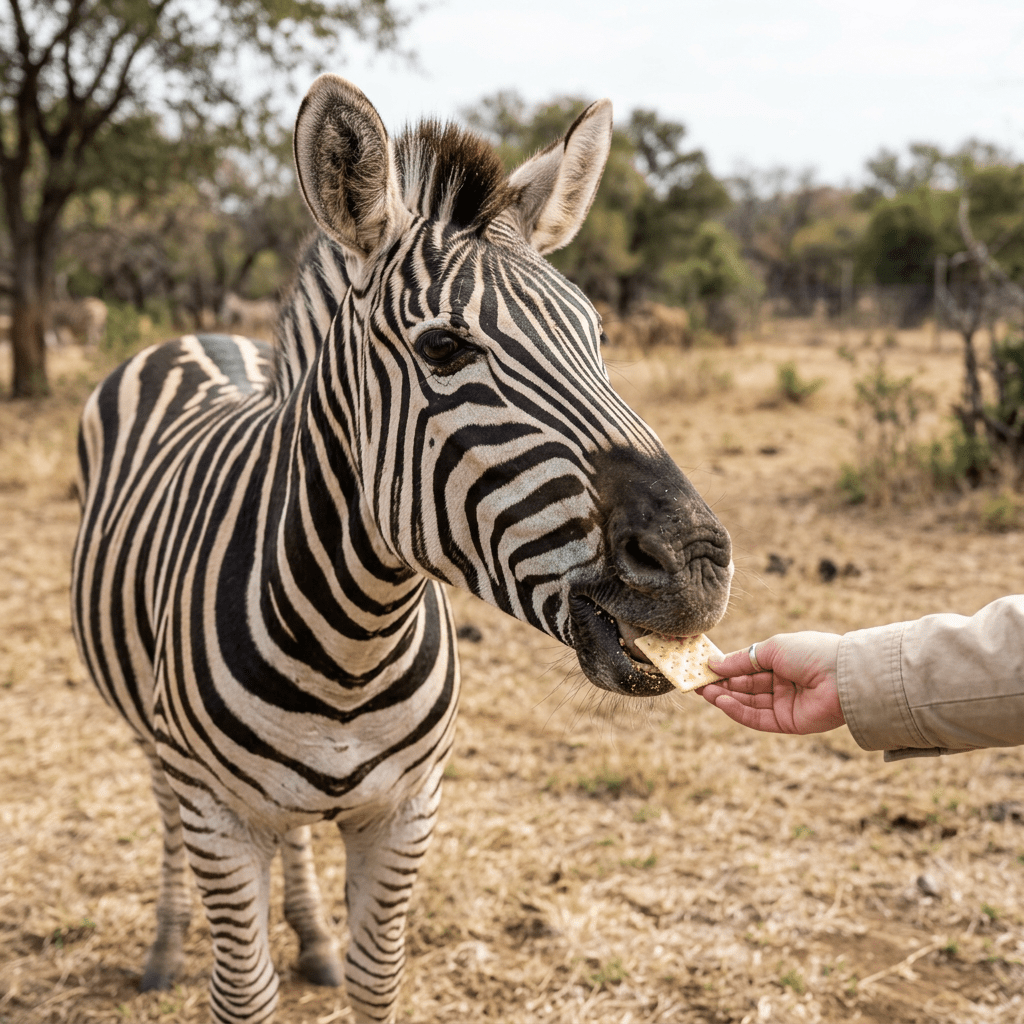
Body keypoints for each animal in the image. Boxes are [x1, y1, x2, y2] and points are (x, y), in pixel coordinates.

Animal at [70, 74, 734, 1024]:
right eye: (444, 347)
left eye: (598, 338)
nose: (696, 563)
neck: (352, 640)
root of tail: (200, 335)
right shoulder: (219, 817)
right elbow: (244, 992)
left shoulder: (406, 809)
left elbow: (376, 978)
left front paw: (332, 952)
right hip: (151, 735)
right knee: (161, 806)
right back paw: (163, 947)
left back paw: (310, 937)